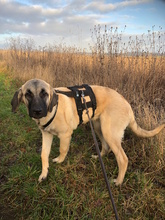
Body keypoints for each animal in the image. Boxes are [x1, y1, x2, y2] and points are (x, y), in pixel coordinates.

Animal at [10, 79, 164, 186]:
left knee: (123, 158)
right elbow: (43, 155)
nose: (37, 111)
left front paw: (59, 160)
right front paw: (44, 173)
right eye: (28, 94)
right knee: (105, 147)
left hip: (109, 132)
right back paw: (98, 156)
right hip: (97, 127)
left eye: (44, 94)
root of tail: (128, 105)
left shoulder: (65, 135)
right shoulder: (46, 135)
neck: (51, 109)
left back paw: (119, 181)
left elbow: (62, 150)